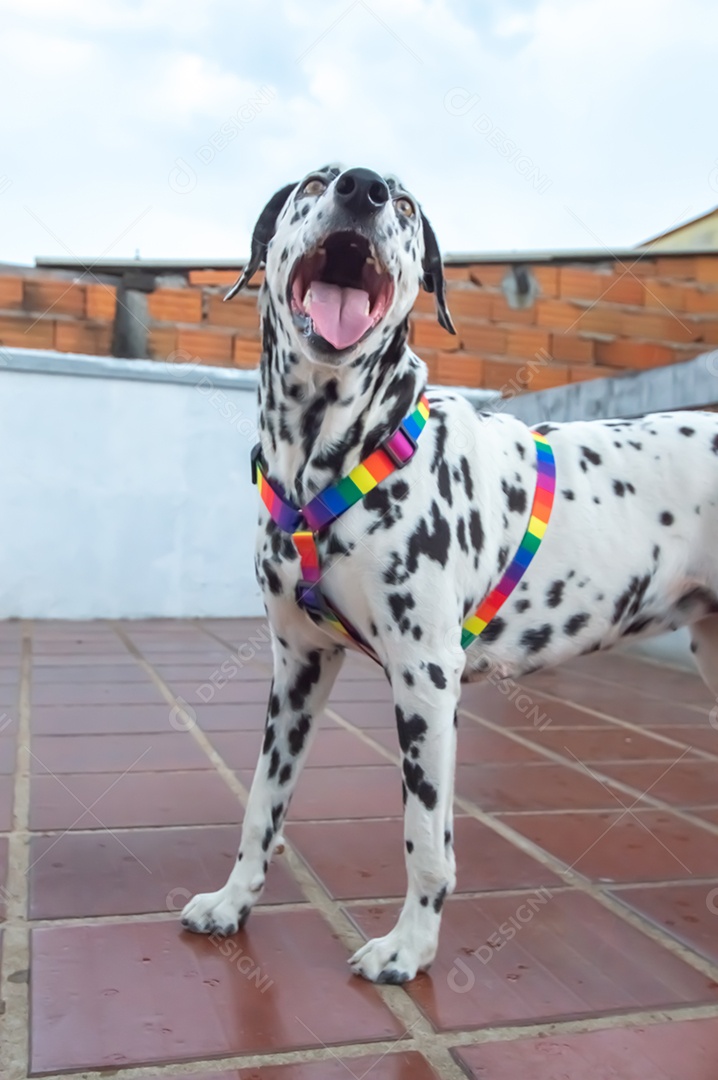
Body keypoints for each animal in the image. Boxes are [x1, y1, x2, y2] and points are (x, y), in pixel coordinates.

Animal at [180, 164, 718, 984]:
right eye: (312, 182)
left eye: (404, 204)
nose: (362, 188)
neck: (333, 457)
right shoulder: (298, 666)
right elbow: (261, 806)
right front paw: (232, 902)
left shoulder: (427, 679)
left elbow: (426, 842)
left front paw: (410, 949)